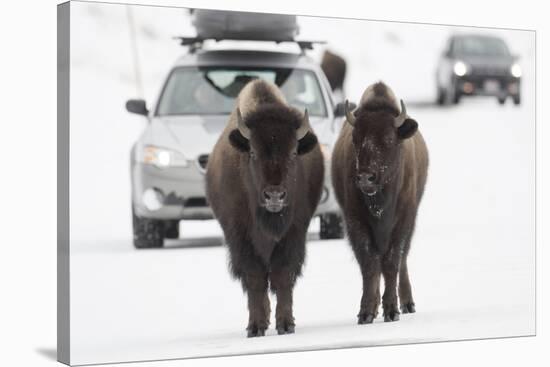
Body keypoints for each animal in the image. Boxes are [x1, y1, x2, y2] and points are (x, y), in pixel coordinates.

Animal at [207, 79, 328, 338]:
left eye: (293, 152)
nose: (274, 195)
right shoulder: (240, 237)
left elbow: (282, 275)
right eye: (253, 152)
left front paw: (286, 324)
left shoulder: (293, 234)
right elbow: (255, 279)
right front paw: (255, 327)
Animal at [332, 81, 432, 324]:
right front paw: (367, 311)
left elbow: (392, 262)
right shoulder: (355, 221)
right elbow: (370, 263)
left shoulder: (403, 221)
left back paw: (407, 303)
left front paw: (392, 310)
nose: (365, 178)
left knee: (402, 261)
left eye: (388, 139)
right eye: (356, 139)